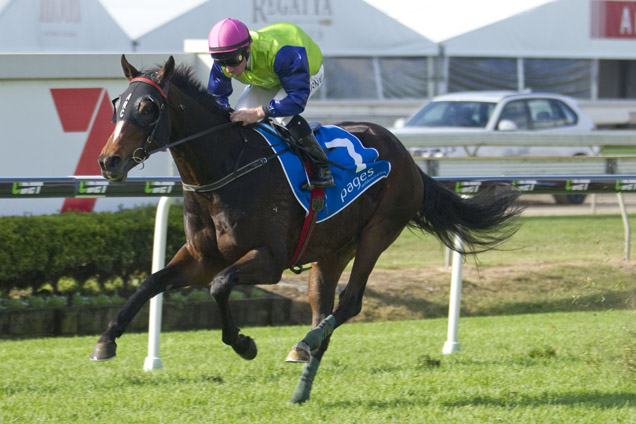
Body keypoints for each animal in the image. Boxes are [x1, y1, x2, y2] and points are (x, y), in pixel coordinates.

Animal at [94, 54, 520, 402]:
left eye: (148, 107)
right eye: (117, 105)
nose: (108, 160)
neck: (228, 168)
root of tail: (408, 157)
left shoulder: (269, 260)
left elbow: (220, 286)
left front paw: (243, 343)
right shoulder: (200, 258)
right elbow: (150, 282)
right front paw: (105, 340)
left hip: (379, 232)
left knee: (350, 302)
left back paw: (307, 347)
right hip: (333, 248)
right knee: (322, 301)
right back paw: (304, 357)